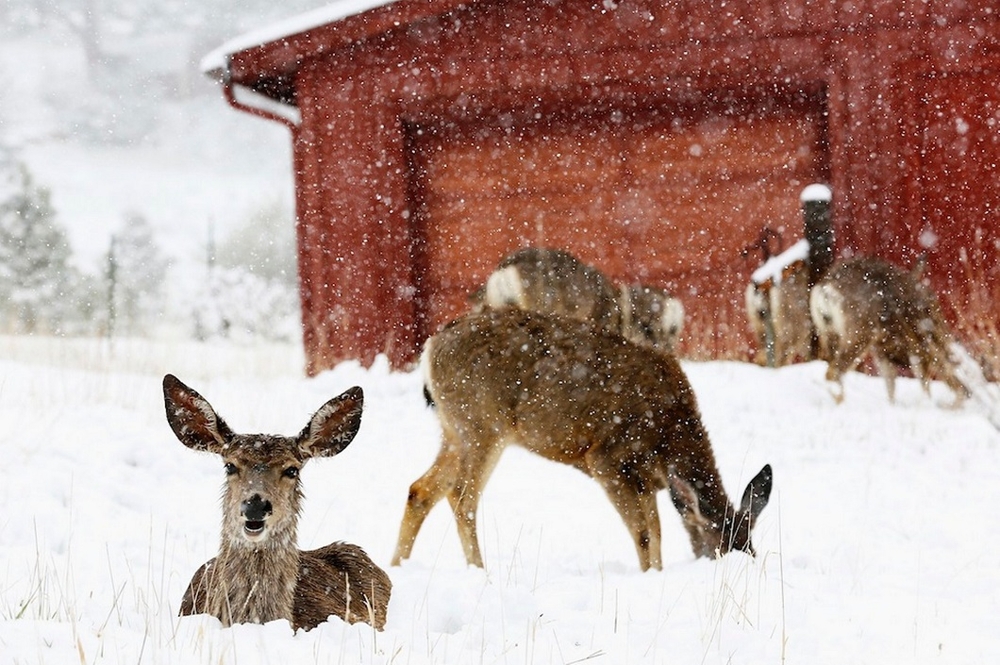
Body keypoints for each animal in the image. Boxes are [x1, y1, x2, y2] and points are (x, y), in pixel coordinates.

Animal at [390, 308, 772, 568]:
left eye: (751, 545)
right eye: (722, 547)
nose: (748, 569)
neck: (668, 433)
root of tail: (430, 348)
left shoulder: (644, 477)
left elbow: (657, 531)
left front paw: (658, 573)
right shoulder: (606, 457)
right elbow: (644, 533)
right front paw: (649, 575)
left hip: (454, 429)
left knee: (420, 489)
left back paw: (398, 566)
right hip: (482, 424)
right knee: (461, 495)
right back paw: (480, 572)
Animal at [808, 255, 964, 402]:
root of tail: (825, 289)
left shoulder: (883, 354)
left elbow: (891, 388)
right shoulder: (920, 351)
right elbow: (926, 384)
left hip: (828, 334)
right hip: (860, 334)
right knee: (834, 371)